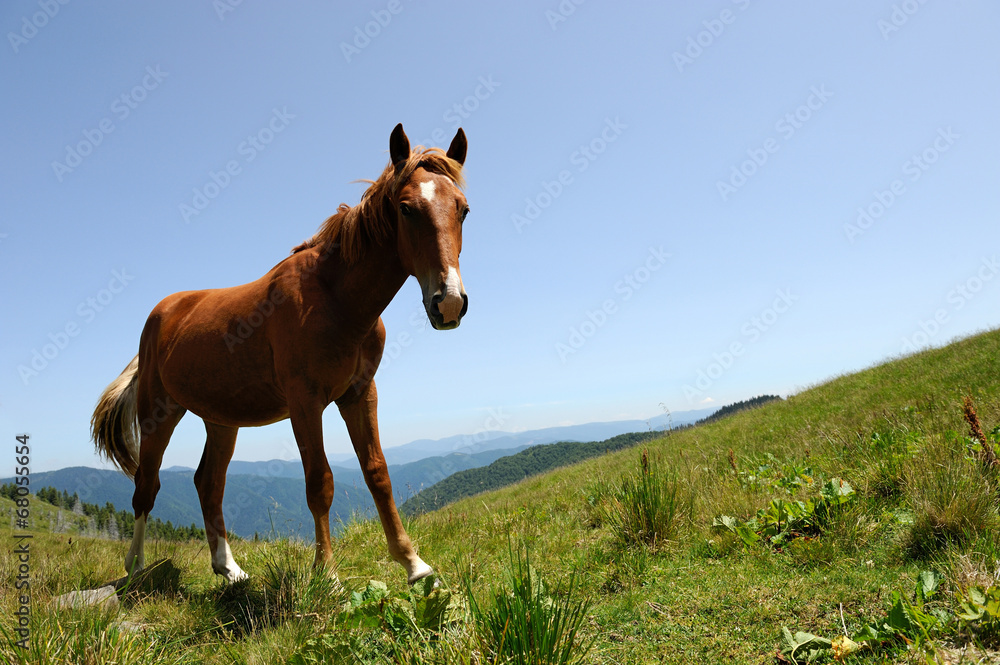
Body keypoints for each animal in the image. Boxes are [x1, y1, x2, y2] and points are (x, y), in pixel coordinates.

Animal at [94, 124, 468, 580]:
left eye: (463, 210)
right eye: (407, 209)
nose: (449, 302)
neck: (335, 298)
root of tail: (161, 314)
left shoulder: (359, 394)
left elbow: (378, 474)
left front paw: (414, 564)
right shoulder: (305, 402)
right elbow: (319, 482)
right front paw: (327, 574)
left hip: (222, 421)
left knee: (208, 483)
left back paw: (228, 568)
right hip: (158, 414)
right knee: (145, 487)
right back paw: (136, 567)